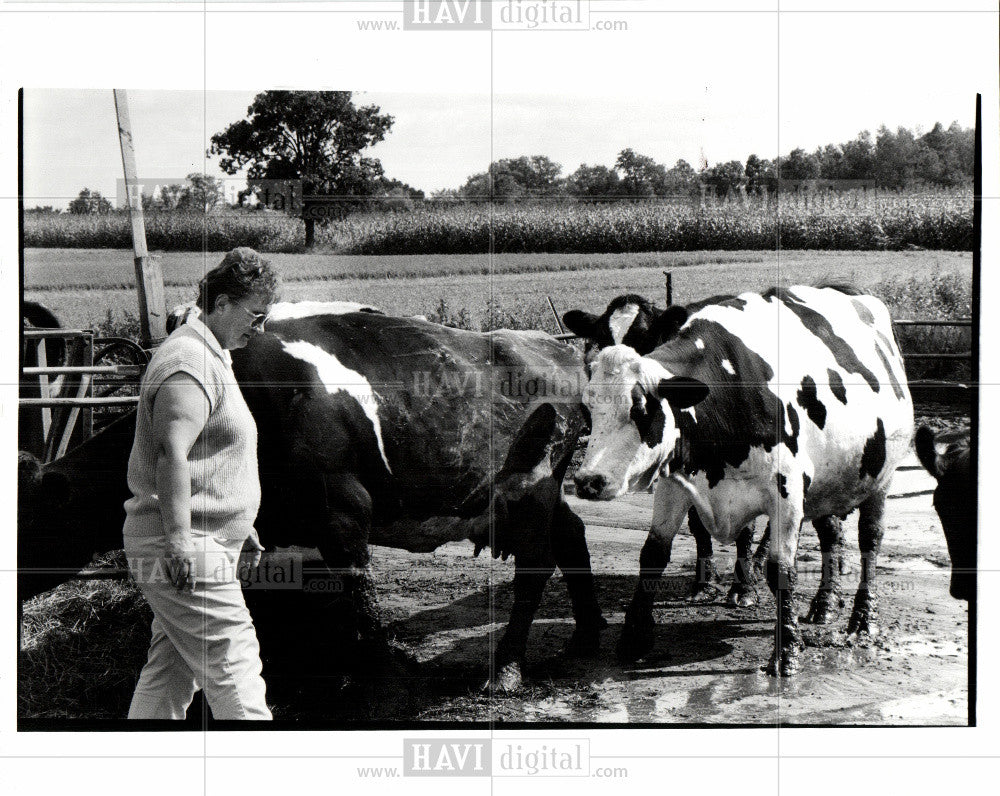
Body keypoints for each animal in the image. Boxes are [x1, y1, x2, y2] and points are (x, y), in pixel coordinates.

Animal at [572, 282, 916, 676]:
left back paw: (862, 618)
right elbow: (653, 553)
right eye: (588, 405)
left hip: (881, 478)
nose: (588, 480)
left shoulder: (785, 492)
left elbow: (779, 568)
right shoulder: (675, 485)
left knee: (869, 540)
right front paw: (634, 638)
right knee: (831, 535)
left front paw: (786, 652)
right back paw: (824, 604)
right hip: (827, 485)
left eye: (642, 407)